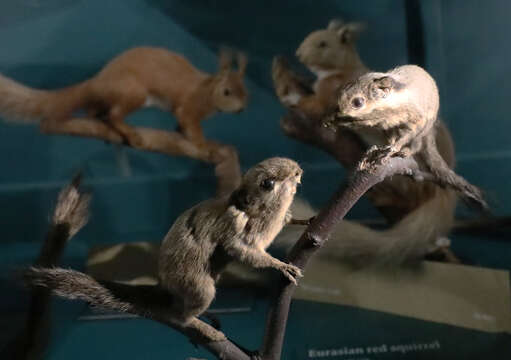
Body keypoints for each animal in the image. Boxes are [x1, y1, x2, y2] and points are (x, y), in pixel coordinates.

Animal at [0, 47, 248, 148]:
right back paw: (129, 132)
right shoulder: (189, 106)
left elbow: (181, 125)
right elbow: (188, 121)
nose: (242, 109)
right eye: (227, 92)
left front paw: (181, 131)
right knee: (114, 115)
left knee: (95, 111)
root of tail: (97, 81)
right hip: (134, 93)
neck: (206, 90)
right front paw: (204, 144)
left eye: (247, 92)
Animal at [24, 157, 304, 340]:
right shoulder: (234, 232)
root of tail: (164, 286)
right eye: (268, 183)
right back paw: (208, 331)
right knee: (182, 316)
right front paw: (283, 266)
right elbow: (248, 253)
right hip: (202, 288)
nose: (298, 170)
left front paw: (300, 219)